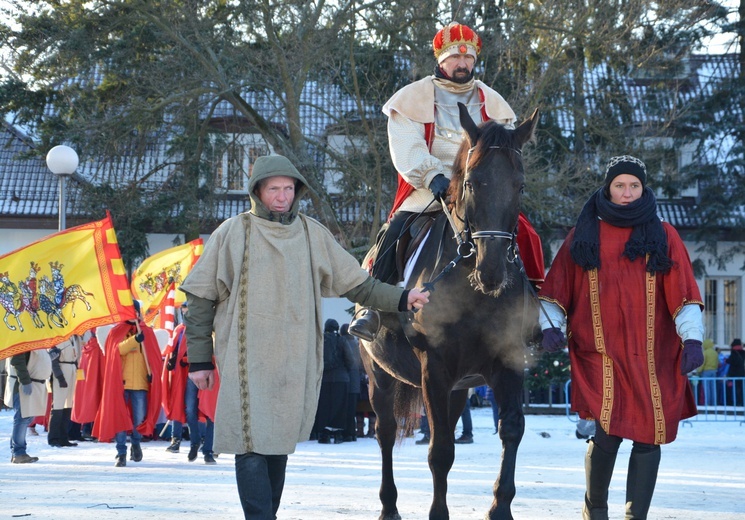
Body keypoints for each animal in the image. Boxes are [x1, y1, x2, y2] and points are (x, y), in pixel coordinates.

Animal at [358, 102, 536, 520]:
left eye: (520, 185)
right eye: (470, 182)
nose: (491, 270)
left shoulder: (508, 363)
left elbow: (512, 430)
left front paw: (500, 507)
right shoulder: (434, 369)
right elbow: (439, 451)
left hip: (459, 387)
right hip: (379, 375)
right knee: (385, 432)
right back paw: (388, 506)